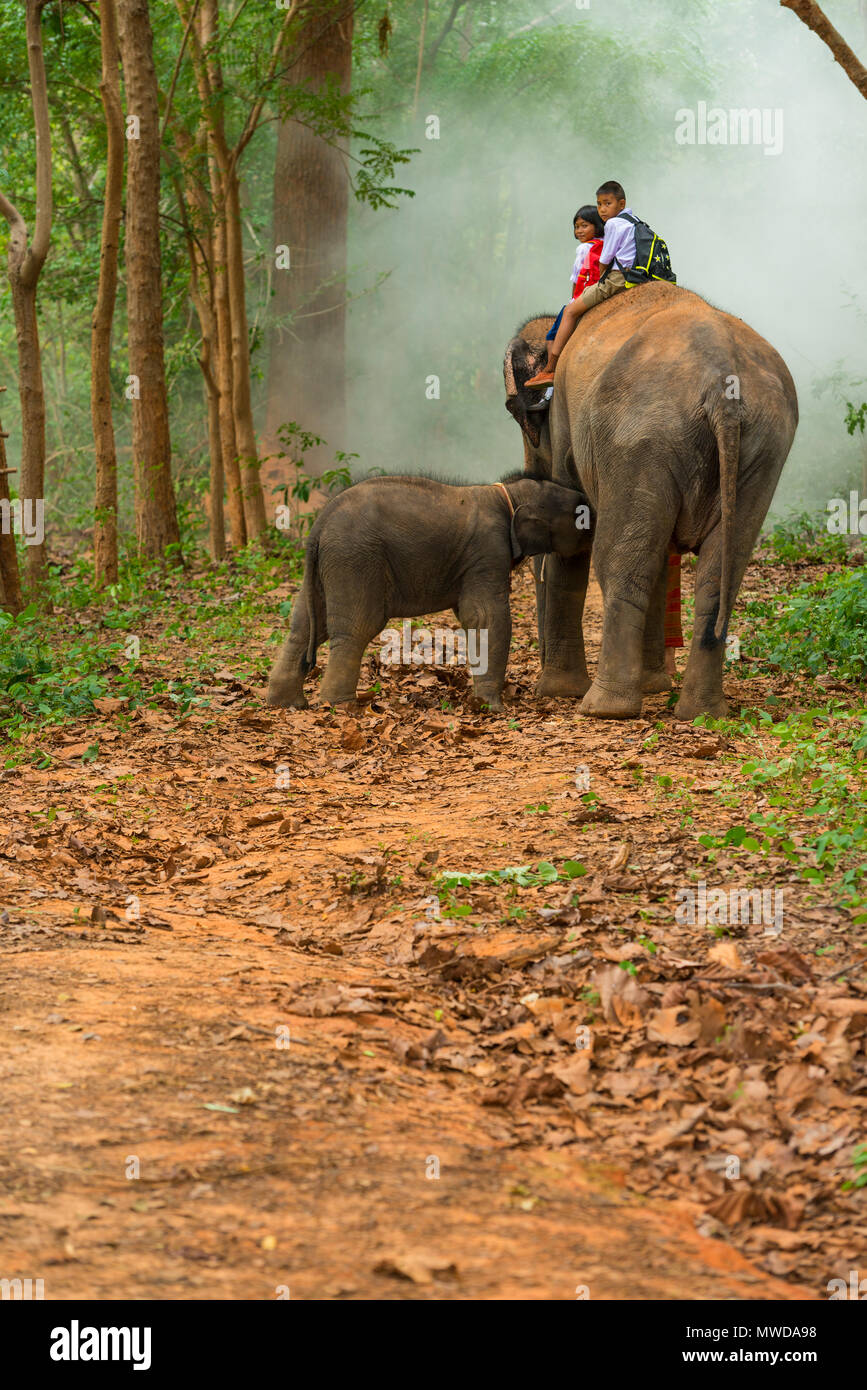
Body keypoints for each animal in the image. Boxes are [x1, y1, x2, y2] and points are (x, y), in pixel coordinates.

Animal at [266, 471, 591, 712]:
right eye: (582, 515)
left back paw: (287, 704)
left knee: (304, 627)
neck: (507, 494)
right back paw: (342, 707)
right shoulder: (488, 551)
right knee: (355, 630)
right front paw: (492, 708)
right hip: (354, 560)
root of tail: (319, 524)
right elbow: (485, 617)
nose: (595, 521)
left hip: (325, 569)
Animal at [503, 281, 798, 719]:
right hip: (762, 447)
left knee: (621, 563)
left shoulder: (566, 424)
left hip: (642, 436)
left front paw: (558, 691)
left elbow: (575, 531)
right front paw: (656, 685)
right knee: (717, 575)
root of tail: (722, 387)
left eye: (521, 416)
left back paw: (603, 708)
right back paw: (701, 713)